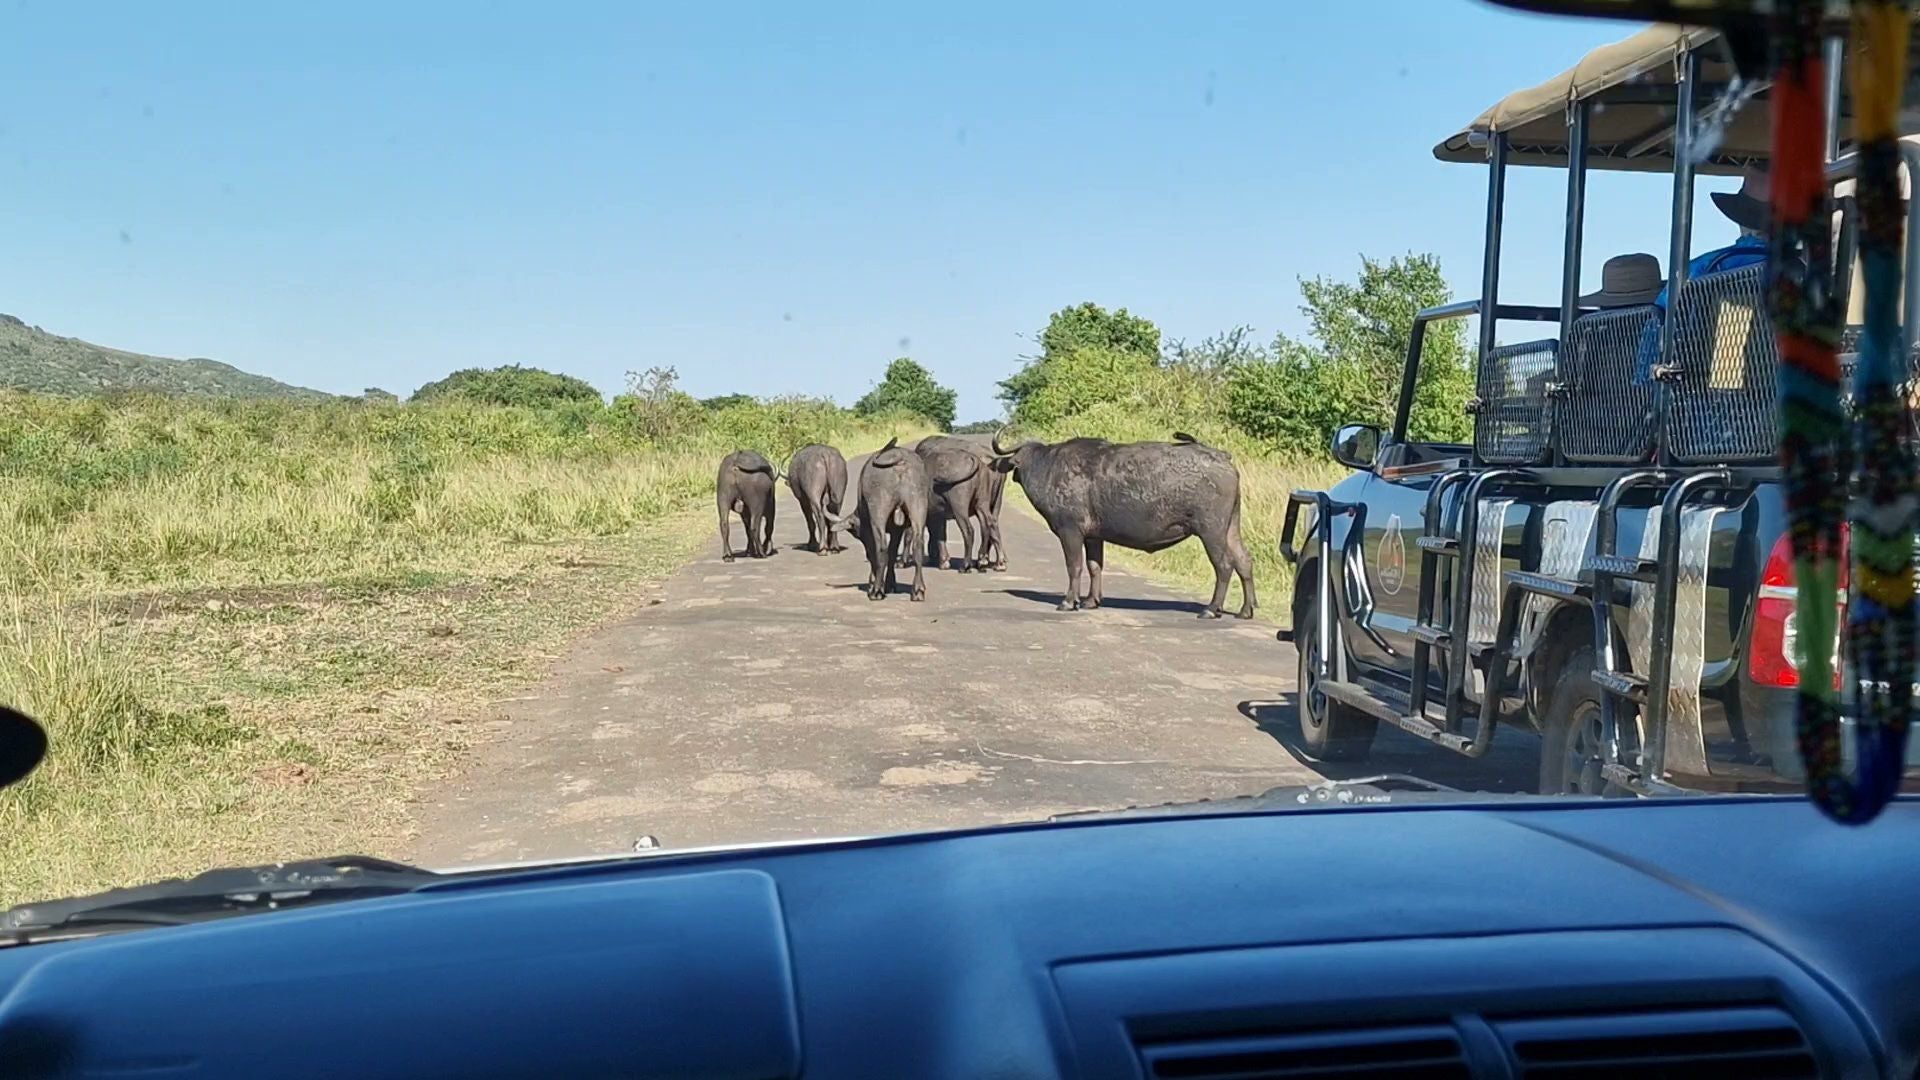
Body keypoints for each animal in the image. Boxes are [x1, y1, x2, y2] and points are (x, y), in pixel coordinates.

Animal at [825, 441, 929, 599]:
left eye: (858, 534)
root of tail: (899, 459)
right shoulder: (897, 529)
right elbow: (893, 553)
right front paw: (890, 584)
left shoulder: (868, 529)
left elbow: (873, 552)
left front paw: (873, 582)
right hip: (918, 506)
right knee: (918, 546)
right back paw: (917, 590)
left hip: (878, 511)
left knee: (881, 549)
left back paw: (877, 590)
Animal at [990, 426, 1259, 614]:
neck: (1048, 468)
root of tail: (1222, 457)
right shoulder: (1094, 537)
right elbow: (1095, 566)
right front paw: (1091, 601)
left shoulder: (1070, 531)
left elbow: (1074, 566)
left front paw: (1069, 601)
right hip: (1231, 527)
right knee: (1244, 560)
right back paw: (1246, 610)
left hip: (1211, 531)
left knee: (1224, 565)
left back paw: (1211, 609)